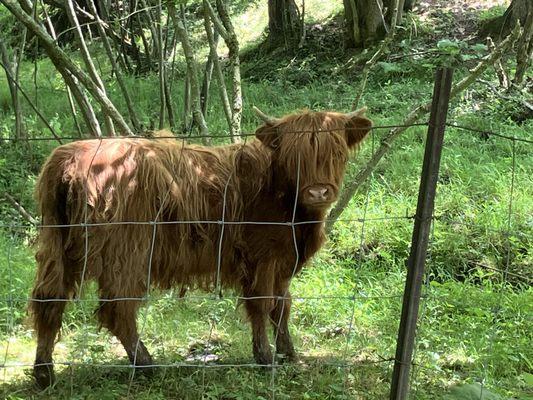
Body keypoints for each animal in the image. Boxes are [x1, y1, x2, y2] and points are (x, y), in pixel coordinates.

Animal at [29, 106, 370, 388]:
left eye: (337, 152)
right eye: (294, 155)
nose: (318, 192)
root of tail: (69, 158)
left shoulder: (284, 259)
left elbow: (282, 306)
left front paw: (289, 353)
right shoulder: (262, 255)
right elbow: (262, 304)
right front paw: (265, 358)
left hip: (56, 242)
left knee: (50, 298)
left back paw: (44, 373)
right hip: (127, 251)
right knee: (118, 308)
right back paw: (146, 365)